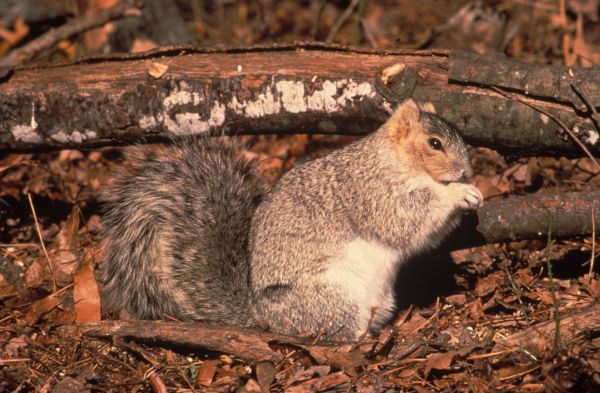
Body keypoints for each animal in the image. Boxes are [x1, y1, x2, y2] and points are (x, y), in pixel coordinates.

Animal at [99, 99, 482, 340]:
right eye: (434, 143)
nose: (467, 171)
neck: (395, 160)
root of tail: (262, 316)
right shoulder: (371, 192)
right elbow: (405, 220)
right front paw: (458, 194)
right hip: (332, 298)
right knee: (339, 331)